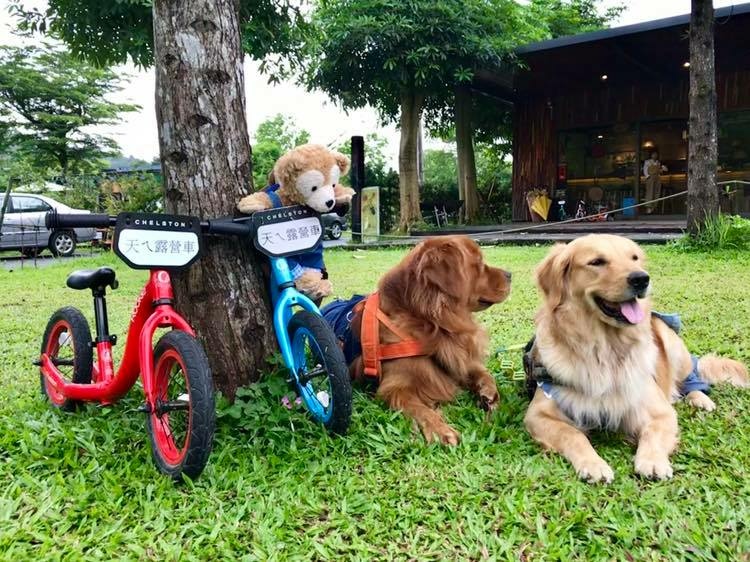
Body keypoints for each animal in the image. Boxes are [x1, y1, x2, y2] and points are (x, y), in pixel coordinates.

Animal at [350, 235, 516, 442]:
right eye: (478, 263)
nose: (510, 274)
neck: (431, 323)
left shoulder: (457, 359)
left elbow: (483, 372)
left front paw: (489, 394)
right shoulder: (393, 387)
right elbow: (419, 409)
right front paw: (440, 430)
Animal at [524, 232, 748, 482]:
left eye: (634, 258)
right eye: (597, 262)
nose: (642, 279)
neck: (605, 348)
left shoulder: (658, 410)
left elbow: (653, 432)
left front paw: (652, 461)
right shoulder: (539, 414)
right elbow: (572, 434)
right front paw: (593, 464)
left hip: (669, 339)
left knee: (690, 377)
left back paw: (700, 399)